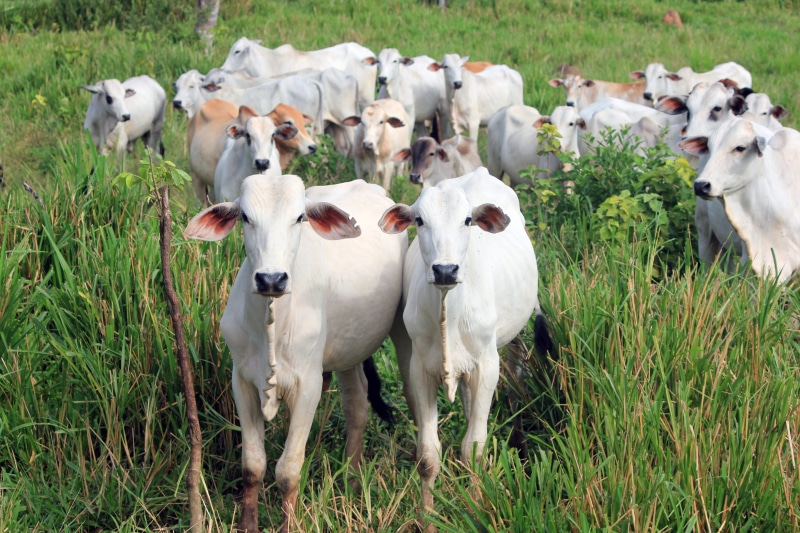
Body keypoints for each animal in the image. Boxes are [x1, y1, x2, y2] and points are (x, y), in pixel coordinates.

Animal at [184, 174, 407, 533]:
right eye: (245, 217)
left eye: (300, 217)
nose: (271, 279)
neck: (273, 324)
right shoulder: (242, 382)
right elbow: (253, 466)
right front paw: (247, 524)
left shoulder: (308, 385)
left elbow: (288, 472)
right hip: (347, 350)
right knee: (356, 399)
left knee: (357, 406)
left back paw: (352, 477)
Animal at [378, 167, 552, 531]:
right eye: (419, 220)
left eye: (468, 220)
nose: (445, 270)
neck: (449, 312)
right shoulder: (420, 371)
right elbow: (428, 456)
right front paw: (428, 519)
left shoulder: (486, 367)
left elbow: (474, 449)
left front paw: (474, 508)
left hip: (511, 341)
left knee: (515, 379)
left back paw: (519, 442)